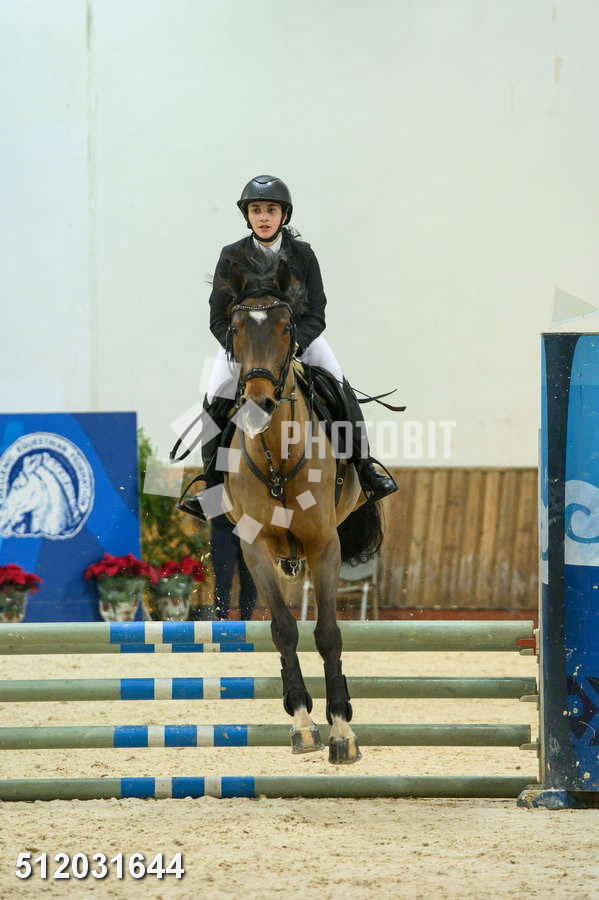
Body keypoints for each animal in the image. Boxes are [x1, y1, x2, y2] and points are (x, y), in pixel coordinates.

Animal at [210, 249, 383, 764]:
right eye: (235, 328)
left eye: (287, 327)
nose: (259, 402)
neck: (277, 454)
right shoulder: (254, 549)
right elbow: (284, 630)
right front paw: (303, 723)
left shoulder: (324, 544)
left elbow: (327, 632)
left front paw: (342, 729)